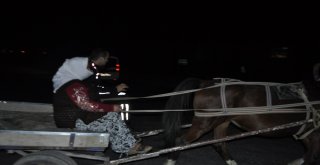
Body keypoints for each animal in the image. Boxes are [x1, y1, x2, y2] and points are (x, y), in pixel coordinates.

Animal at [162, 77, 320, 165]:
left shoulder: (308, 135)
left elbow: (308, 156)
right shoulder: (314, 135)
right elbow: (310, 157)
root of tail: (205, 83)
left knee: (219, 144)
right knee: (180, 142)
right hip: (205, 122)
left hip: (221, 121)